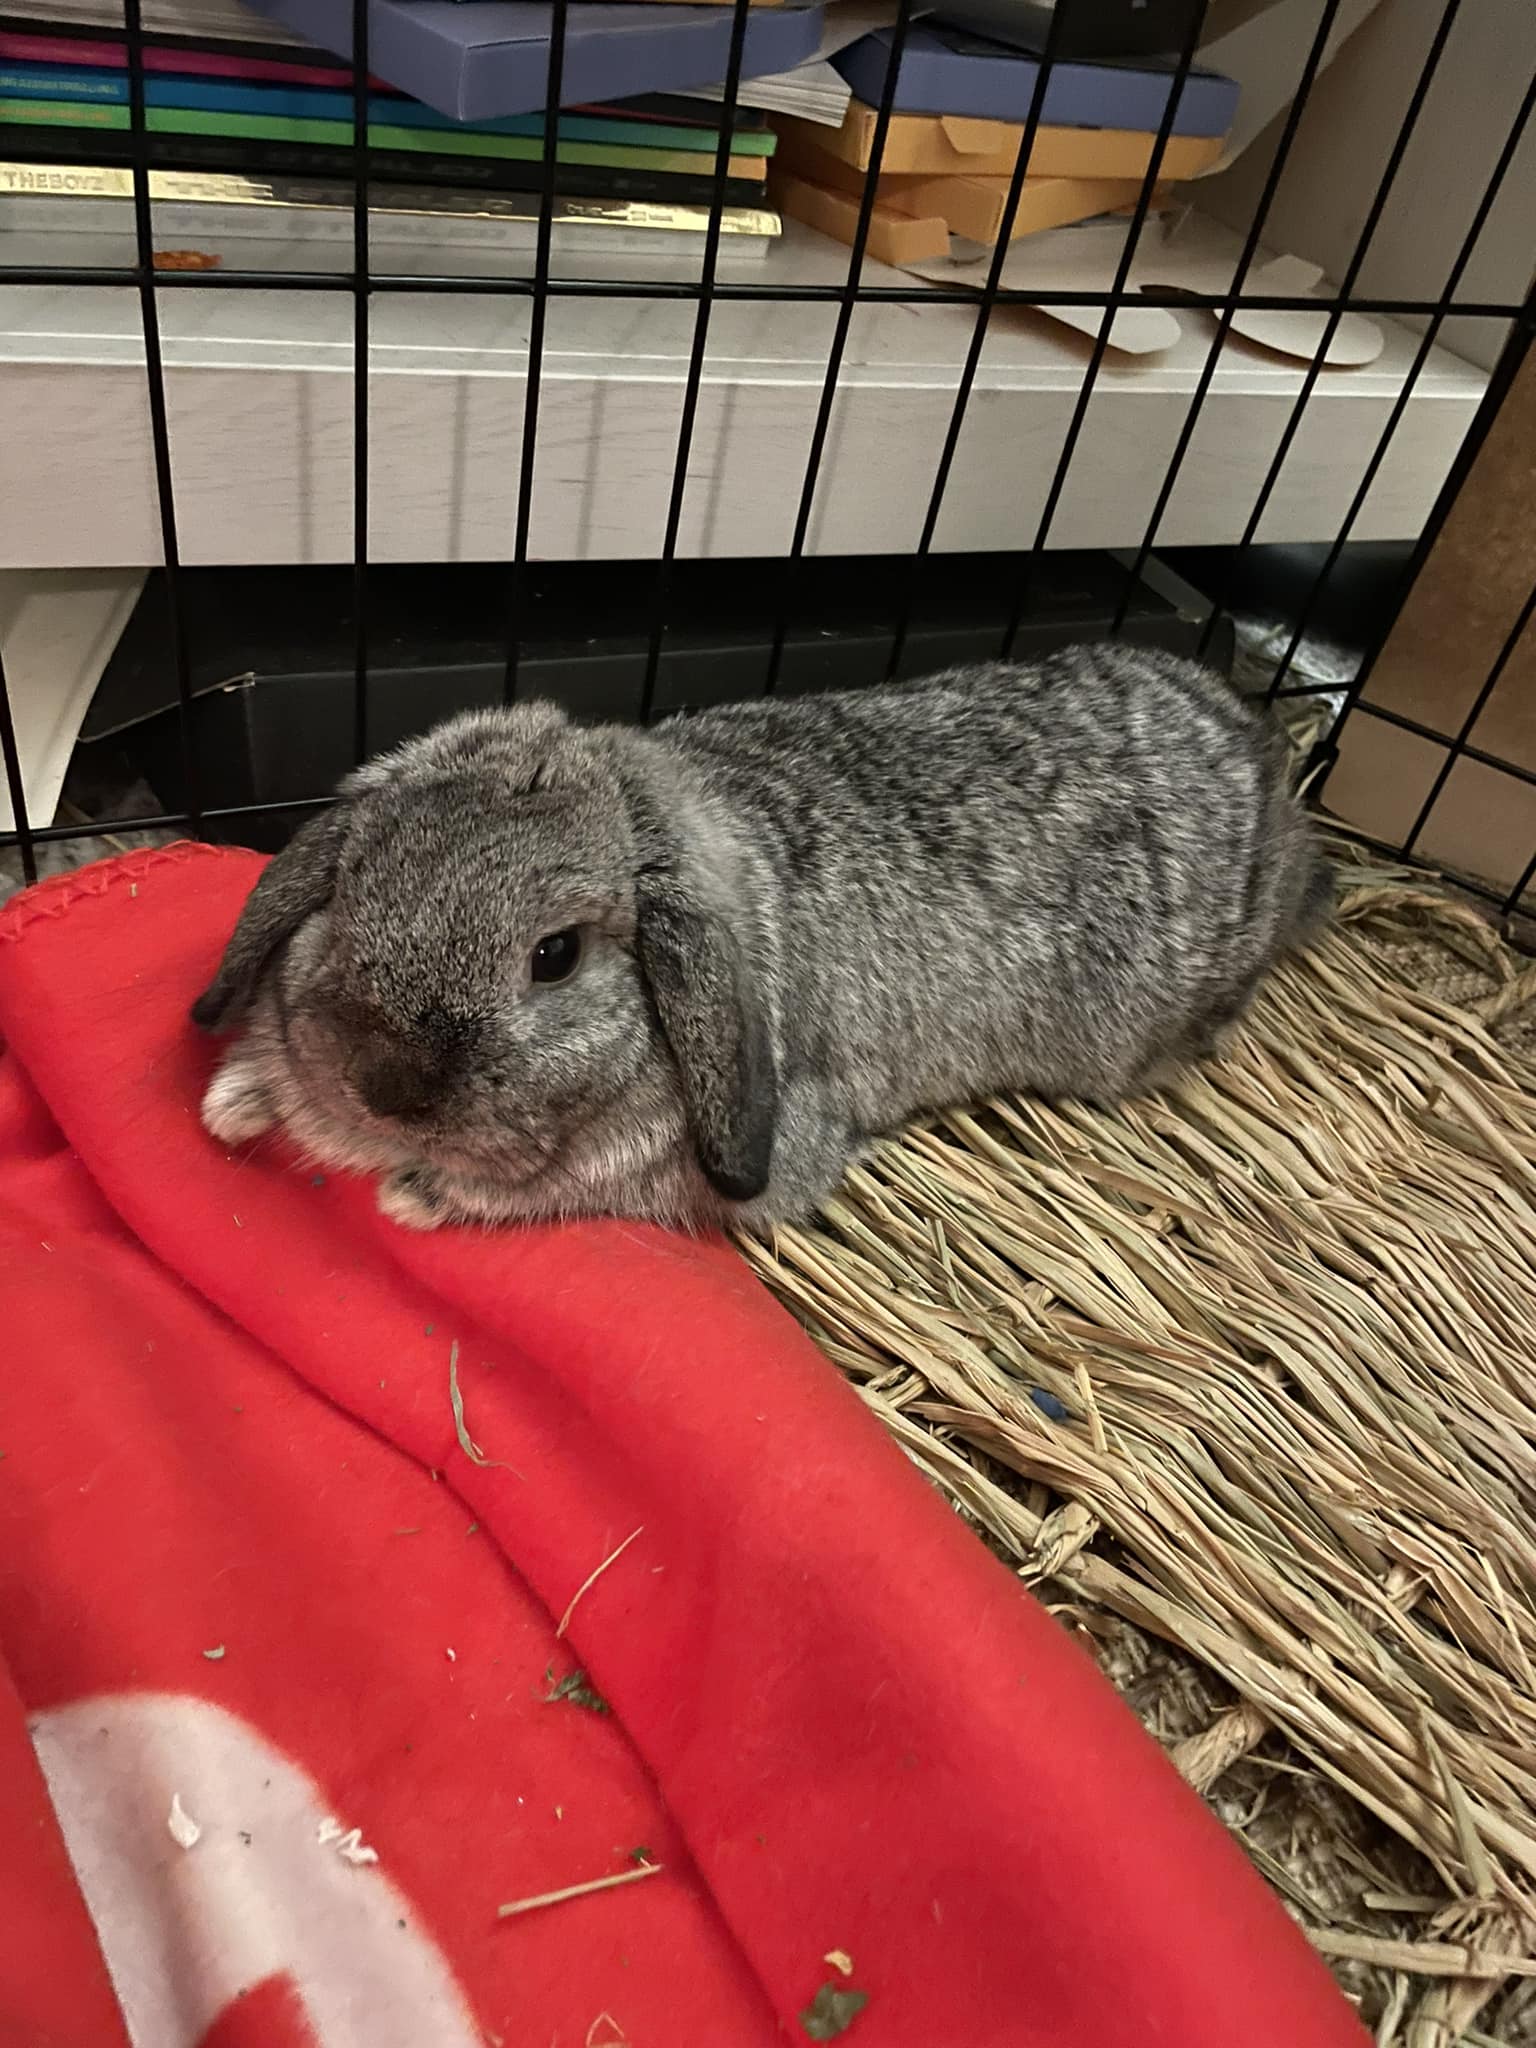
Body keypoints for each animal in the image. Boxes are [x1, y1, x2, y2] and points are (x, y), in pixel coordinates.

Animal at [191, 645, 1331, 1233]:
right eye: (354, 882)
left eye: (555, 955)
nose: (386, 1085)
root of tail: (1257, 747)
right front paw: (235, 1105)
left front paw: (410, 1192)